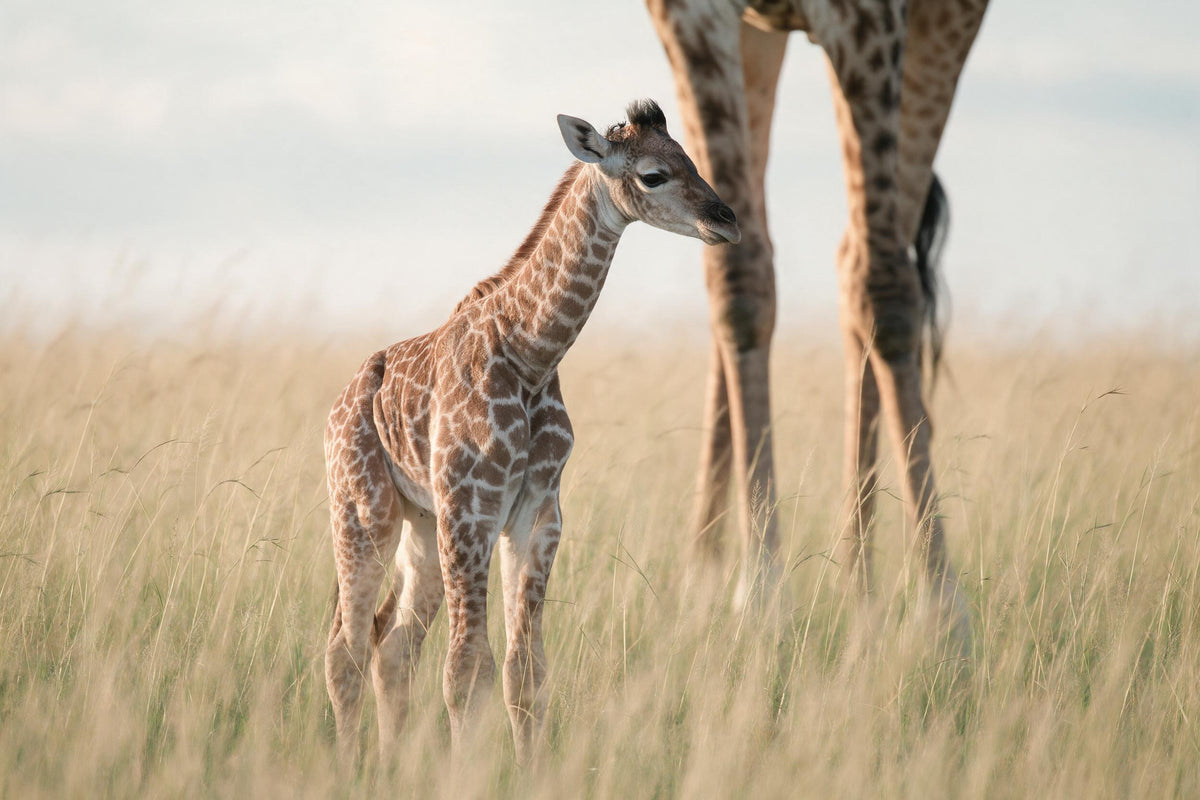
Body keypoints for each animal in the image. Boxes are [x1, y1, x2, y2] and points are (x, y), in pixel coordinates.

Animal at [323, 99, 740, 764]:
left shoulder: (538, 514)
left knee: (392, 646)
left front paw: (528, 769)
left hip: (421, 526)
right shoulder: (473, 510)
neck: (530, 353)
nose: (726, 221)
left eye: (691, 159)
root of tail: (336, 410)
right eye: (653, 175)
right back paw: (348, 766)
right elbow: (466, 668)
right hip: (364, 513)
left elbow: (526, 670)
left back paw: (388, 764)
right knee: (347, 647)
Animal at [645, 0, 988, 637]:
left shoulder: (876, 20)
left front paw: (942, 613)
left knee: (866, 265)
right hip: (762, 38)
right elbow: (738, 278)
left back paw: (861, 588)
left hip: (942, 28)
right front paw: (759, 595)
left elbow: (884, 287)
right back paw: (707, 580)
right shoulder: (690, 16)